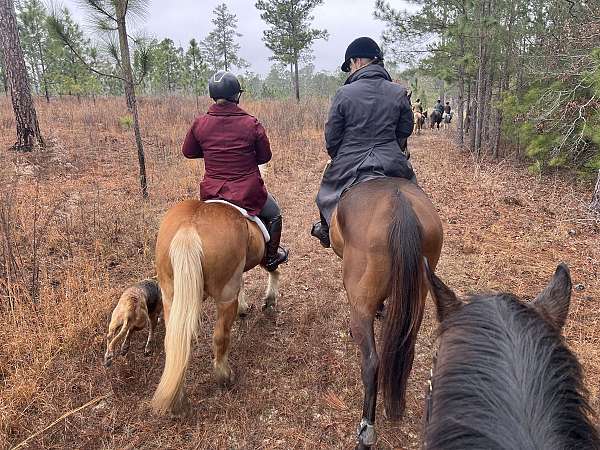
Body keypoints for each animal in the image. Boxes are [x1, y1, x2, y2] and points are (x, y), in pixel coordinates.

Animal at [151, 200, 280, 414]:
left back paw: (177, 395)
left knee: (175, 341)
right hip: (225, 296)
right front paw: (269, 300)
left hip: (170, 297)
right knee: (220, 337)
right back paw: (224, 376)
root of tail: (189, 227)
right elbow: (273, 270)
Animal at [328, 178, 446, 448]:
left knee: (372, 362)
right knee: (406, 351)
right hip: (419, 296)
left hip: (360, 300)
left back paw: (366, 430)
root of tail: (401, 208)